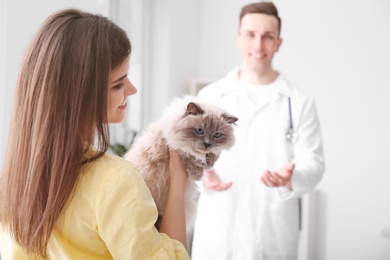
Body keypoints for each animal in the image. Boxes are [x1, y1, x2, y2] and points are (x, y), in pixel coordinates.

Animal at [124, 95, 238, 234]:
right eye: (199, 130)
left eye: (217, 135)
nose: (207, 144)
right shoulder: (173, 146)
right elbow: (188, 157)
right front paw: (197, 174)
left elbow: (214, 155)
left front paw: (208, 163)